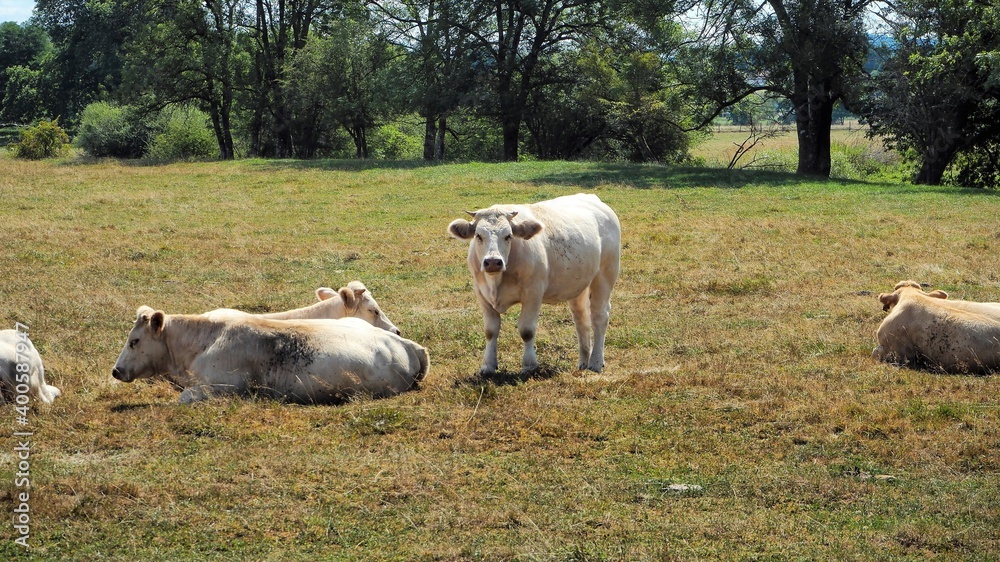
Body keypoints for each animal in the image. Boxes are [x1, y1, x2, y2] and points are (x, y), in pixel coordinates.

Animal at [448, 193, 621, 374]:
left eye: (508, 235)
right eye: (478, 236)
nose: (493, 262)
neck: (496, 281)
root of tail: (593, 199)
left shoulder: (533, 292)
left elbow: (527, 330)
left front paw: (529, 364)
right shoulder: (482, 294)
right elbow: (490, 331)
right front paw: (487, 365)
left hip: (605, 275)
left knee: (599, 316)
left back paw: (596, 362)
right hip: (578, 284)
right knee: (581, 318)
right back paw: (583, 361)